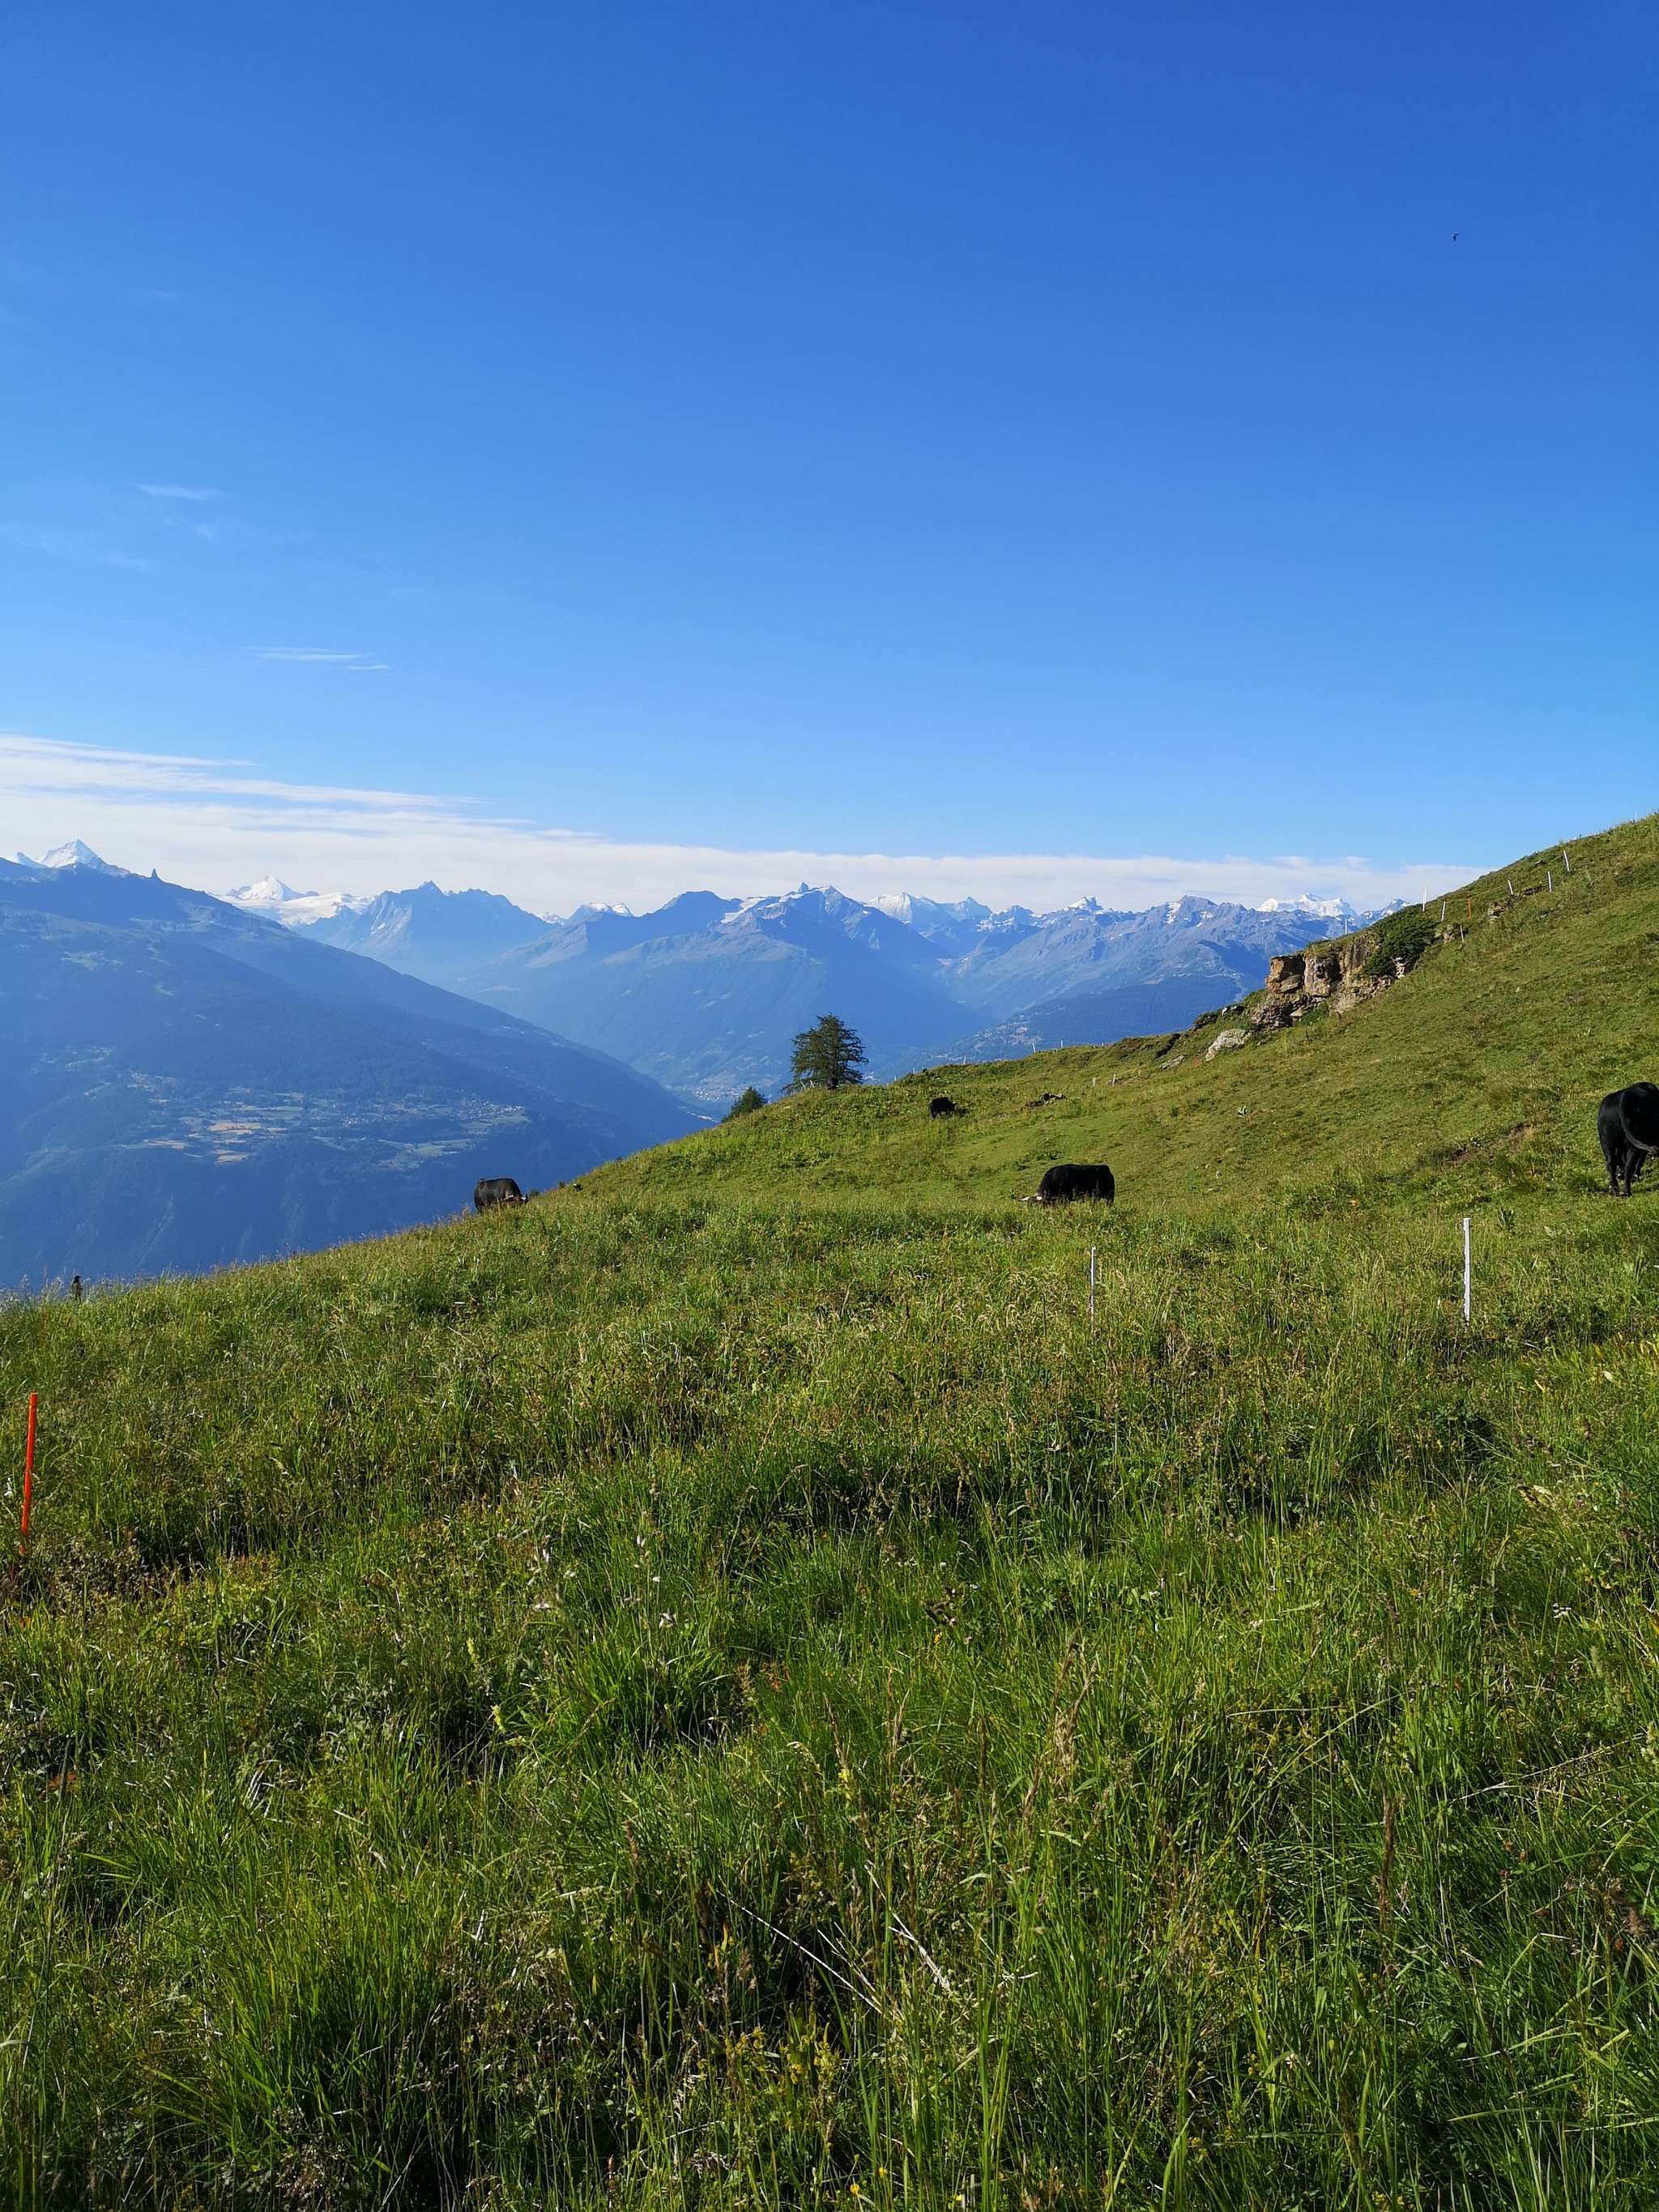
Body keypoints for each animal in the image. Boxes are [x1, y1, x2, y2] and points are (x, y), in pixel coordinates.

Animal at [1599, 1082, 1659, 1197]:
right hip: (1634, 1144)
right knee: (1629, 1165)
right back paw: (1627, 1190)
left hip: (1606, 1141)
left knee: (1611, 1162)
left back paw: (1615, 1189)